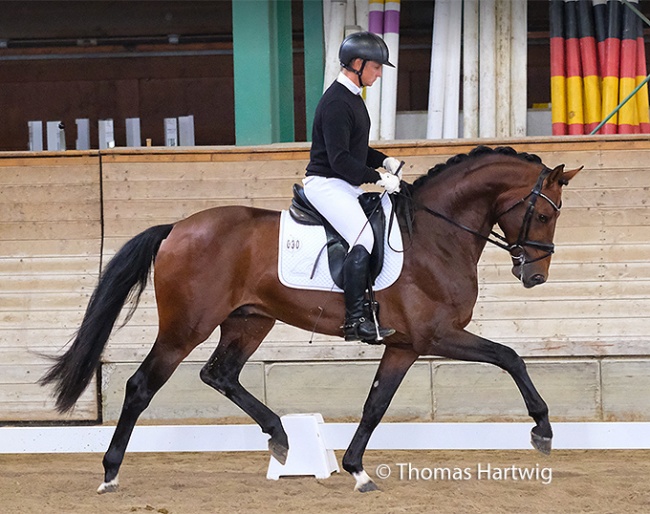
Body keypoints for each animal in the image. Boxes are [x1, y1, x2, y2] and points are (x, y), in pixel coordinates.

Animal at [39, 145, 576, 492]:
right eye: (544, 216)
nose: (535, 276)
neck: (436, 234)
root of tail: (177, 229)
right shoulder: (437, 335)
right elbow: (510, 357)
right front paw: (543, 430)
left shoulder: (404, 345)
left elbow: (375, 404)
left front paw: (357, 469)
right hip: (185, 327)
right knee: (141, 386)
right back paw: (110, 472)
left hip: (249, 320)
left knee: (220, 374)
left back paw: (280, 437)